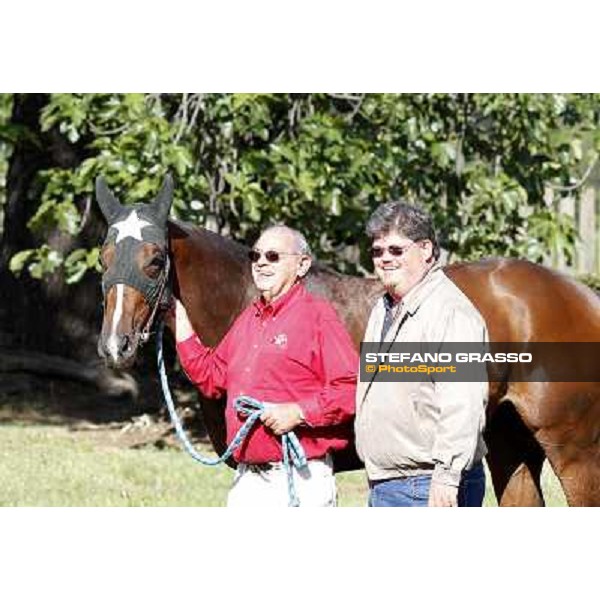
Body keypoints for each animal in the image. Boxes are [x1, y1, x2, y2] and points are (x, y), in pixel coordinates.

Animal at [94, 175, 600, 506]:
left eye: (155, 259)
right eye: (103, 256)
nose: (115, 345)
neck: (248, 302)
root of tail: (582, 295)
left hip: (576, 453)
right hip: (509, 442)